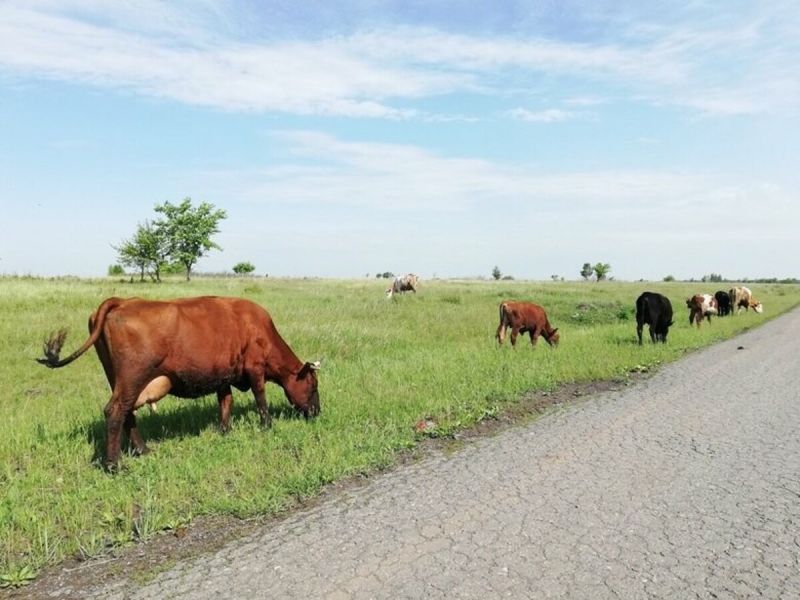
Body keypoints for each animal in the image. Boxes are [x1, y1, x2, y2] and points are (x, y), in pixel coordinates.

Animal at [36, 298, 318, 472]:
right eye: (314, 386)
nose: (317, 412)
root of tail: (123, 300)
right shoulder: (255, 369)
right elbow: (261, 398)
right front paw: (267, 425)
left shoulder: (222, 375)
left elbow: (225, 401)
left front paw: (225, 430)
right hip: (132, 377)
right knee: (115, 411)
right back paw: (115, 465)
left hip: (120, 380)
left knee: (127, 413)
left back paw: (143, 450)